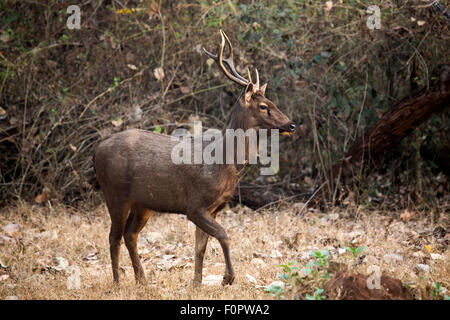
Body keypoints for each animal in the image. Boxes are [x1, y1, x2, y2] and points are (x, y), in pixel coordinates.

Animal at [95, 29, 296, 284]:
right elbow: (224, 235)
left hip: (143, 202)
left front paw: (197, 284)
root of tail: (96, 149)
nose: (291, 124)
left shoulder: (212, 208)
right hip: (115, 192)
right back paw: (118, 282)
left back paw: (143, 281)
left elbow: (200, 248)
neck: (223, 162)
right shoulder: (194, 205)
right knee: (114, 236)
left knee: (130, 234)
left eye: (272, 102)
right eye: (263, 106)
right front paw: (227, 278)